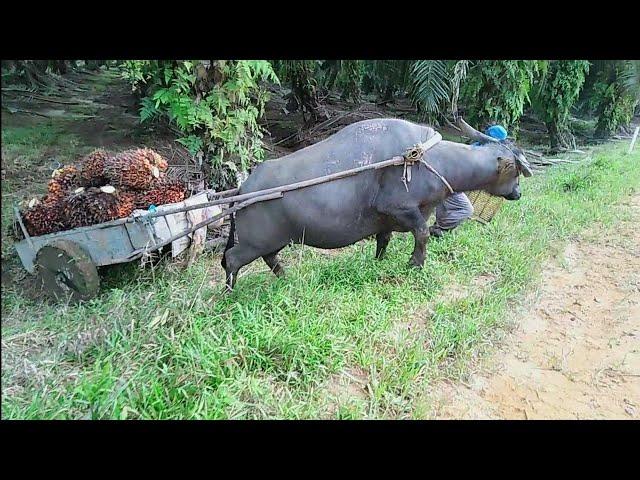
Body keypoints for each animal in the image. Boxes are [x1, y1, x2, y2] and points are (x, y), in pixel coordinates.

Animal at [222, 117, 532, 288]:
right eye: (516, 170)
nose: (517, 194)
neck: (429, 159)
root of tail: (244, 188)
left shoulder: (387, 222)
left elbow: (384, 241)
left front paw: (380, 261)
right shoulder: (401, 208)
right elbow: (422, 233)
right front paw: (415, 263)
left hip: (276, 239)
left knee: (269, 258)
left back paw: (285, 277)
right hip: (255, 241)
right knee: (232, 259)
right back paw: (229, 292)